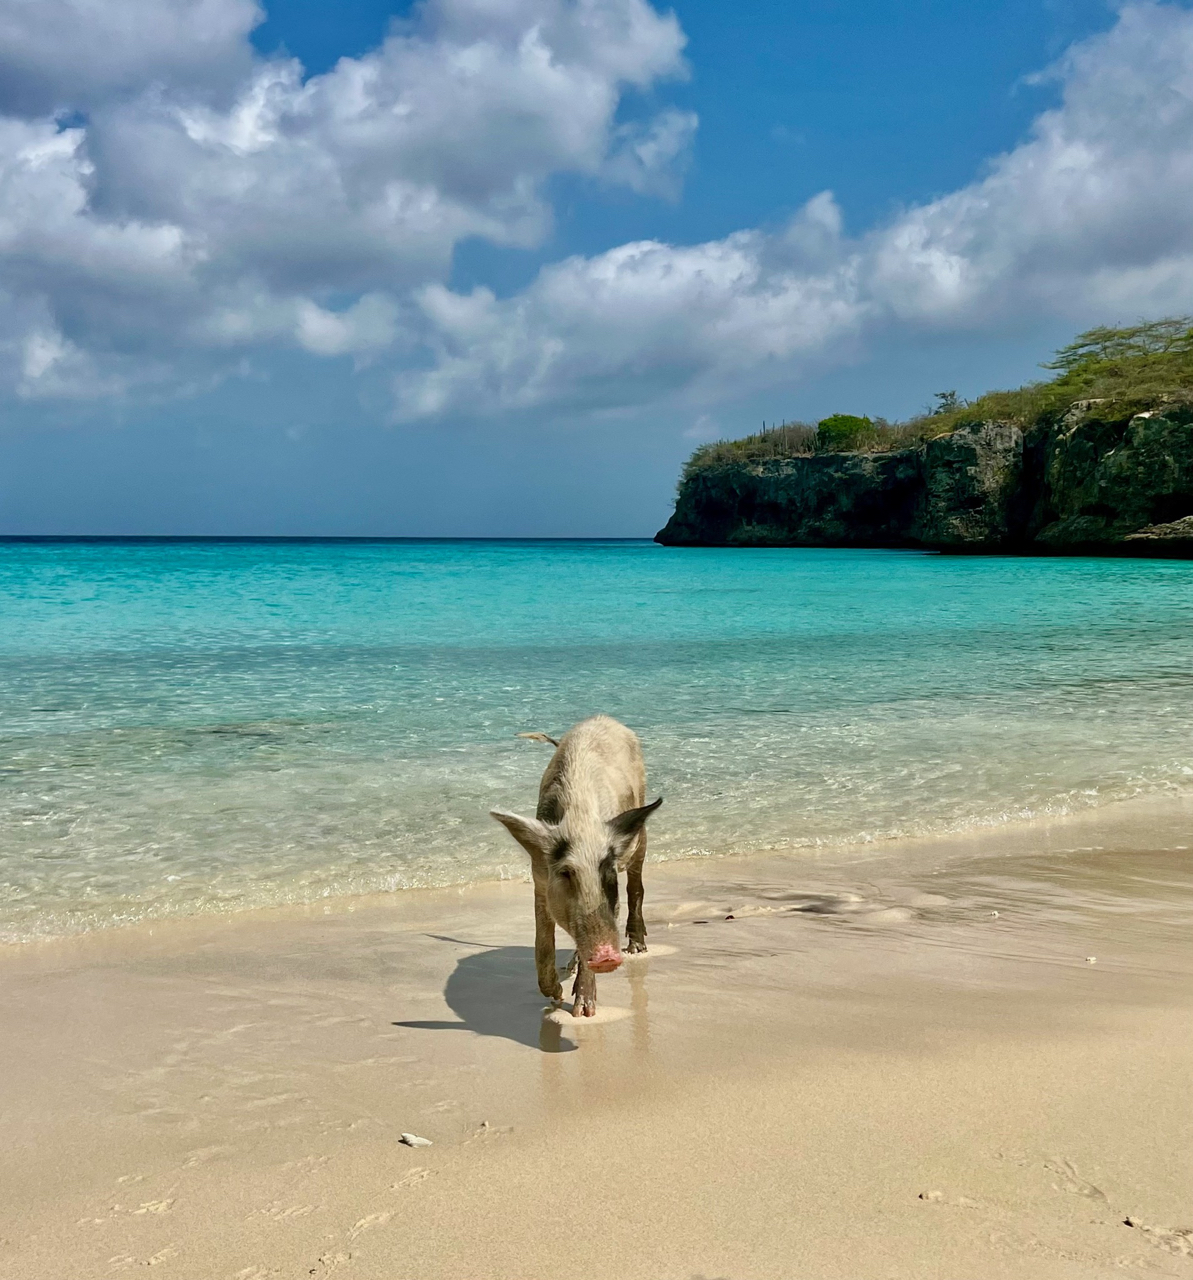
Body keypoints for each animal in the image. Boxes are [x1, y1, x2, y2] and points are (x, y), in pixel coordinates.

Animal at [491, 716, 660, 1013]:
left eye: (608, 874)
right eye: (566, 873)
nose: (607, 956)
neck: (580, 821)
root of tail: (604, 717)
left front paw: (584, 1012)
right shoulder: (540, 878)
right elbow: (542, 941)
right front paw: (556, 996)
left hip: (640, 831)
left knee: (636, 887)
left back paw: (637, 948)